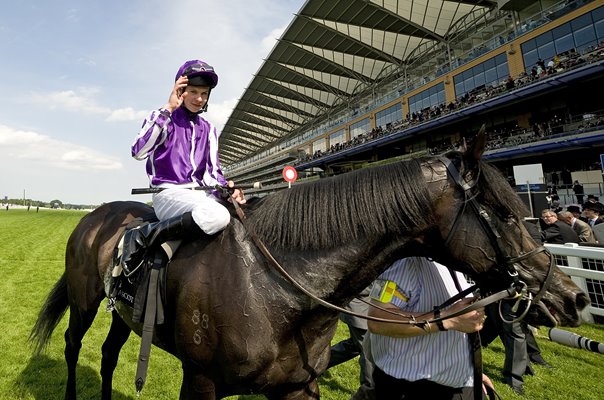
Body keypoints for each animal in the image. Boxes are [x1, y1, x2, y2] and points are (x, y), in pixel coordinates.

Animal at [30, 133, 588, 398]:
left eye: (521, 209)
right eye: (504, 214)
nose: (573, 296)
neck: (275, 289)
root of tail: (97, 215)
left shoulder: (298, 386)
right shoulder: (202, 381)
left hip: (123, 314)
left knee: (107, 354)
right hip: (84, 301)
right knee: (73, 343)